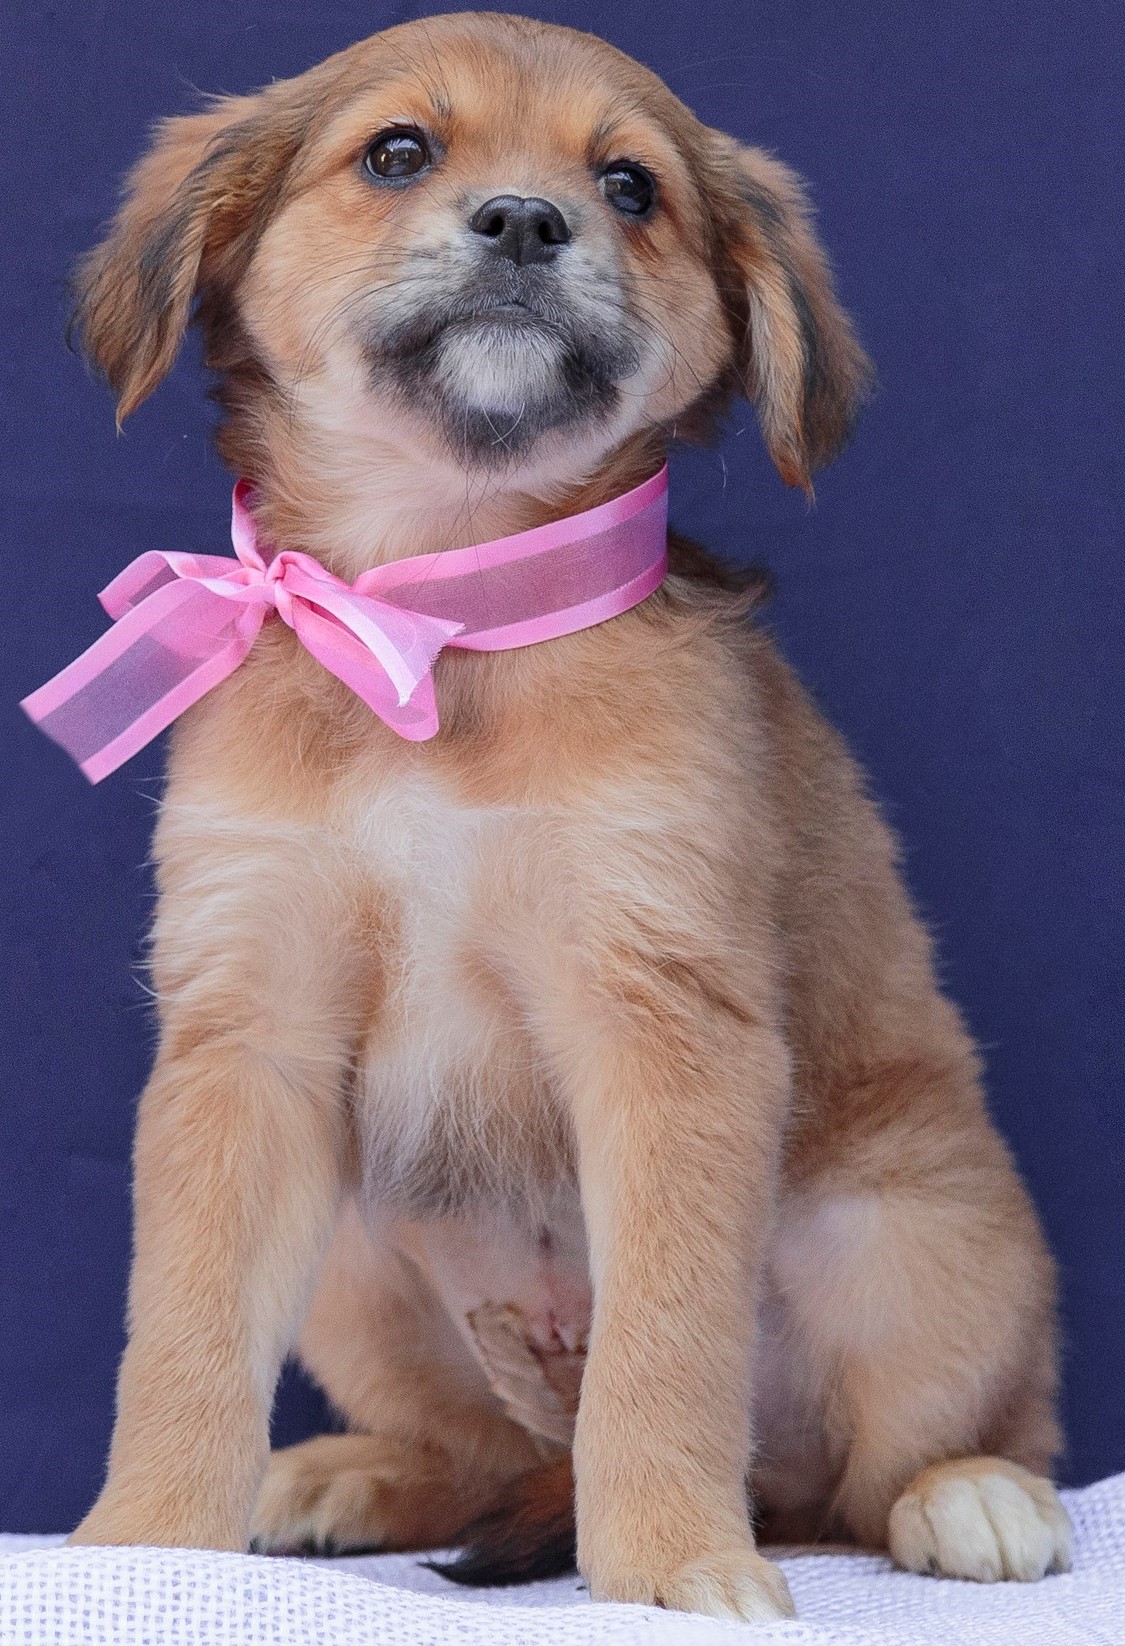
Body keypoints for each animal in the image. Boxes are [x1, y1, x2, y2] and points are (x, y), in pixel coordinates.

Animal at [68, 12, 1073, 1619]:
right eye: (397, 152)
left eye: (629, 186)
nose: (528, 224)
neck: (442, 616)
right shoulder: (250, 1037)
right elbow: (183, 1332)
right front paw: (142, 1548)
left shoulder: (661, 1016)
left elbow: (664, 1353)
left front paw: (668, 1565)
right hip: (356, 1261)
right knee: (483, 1454)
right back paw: (347, 1472)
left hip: (908, 1242)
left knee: (892, 1463)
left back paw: (967, 1496)